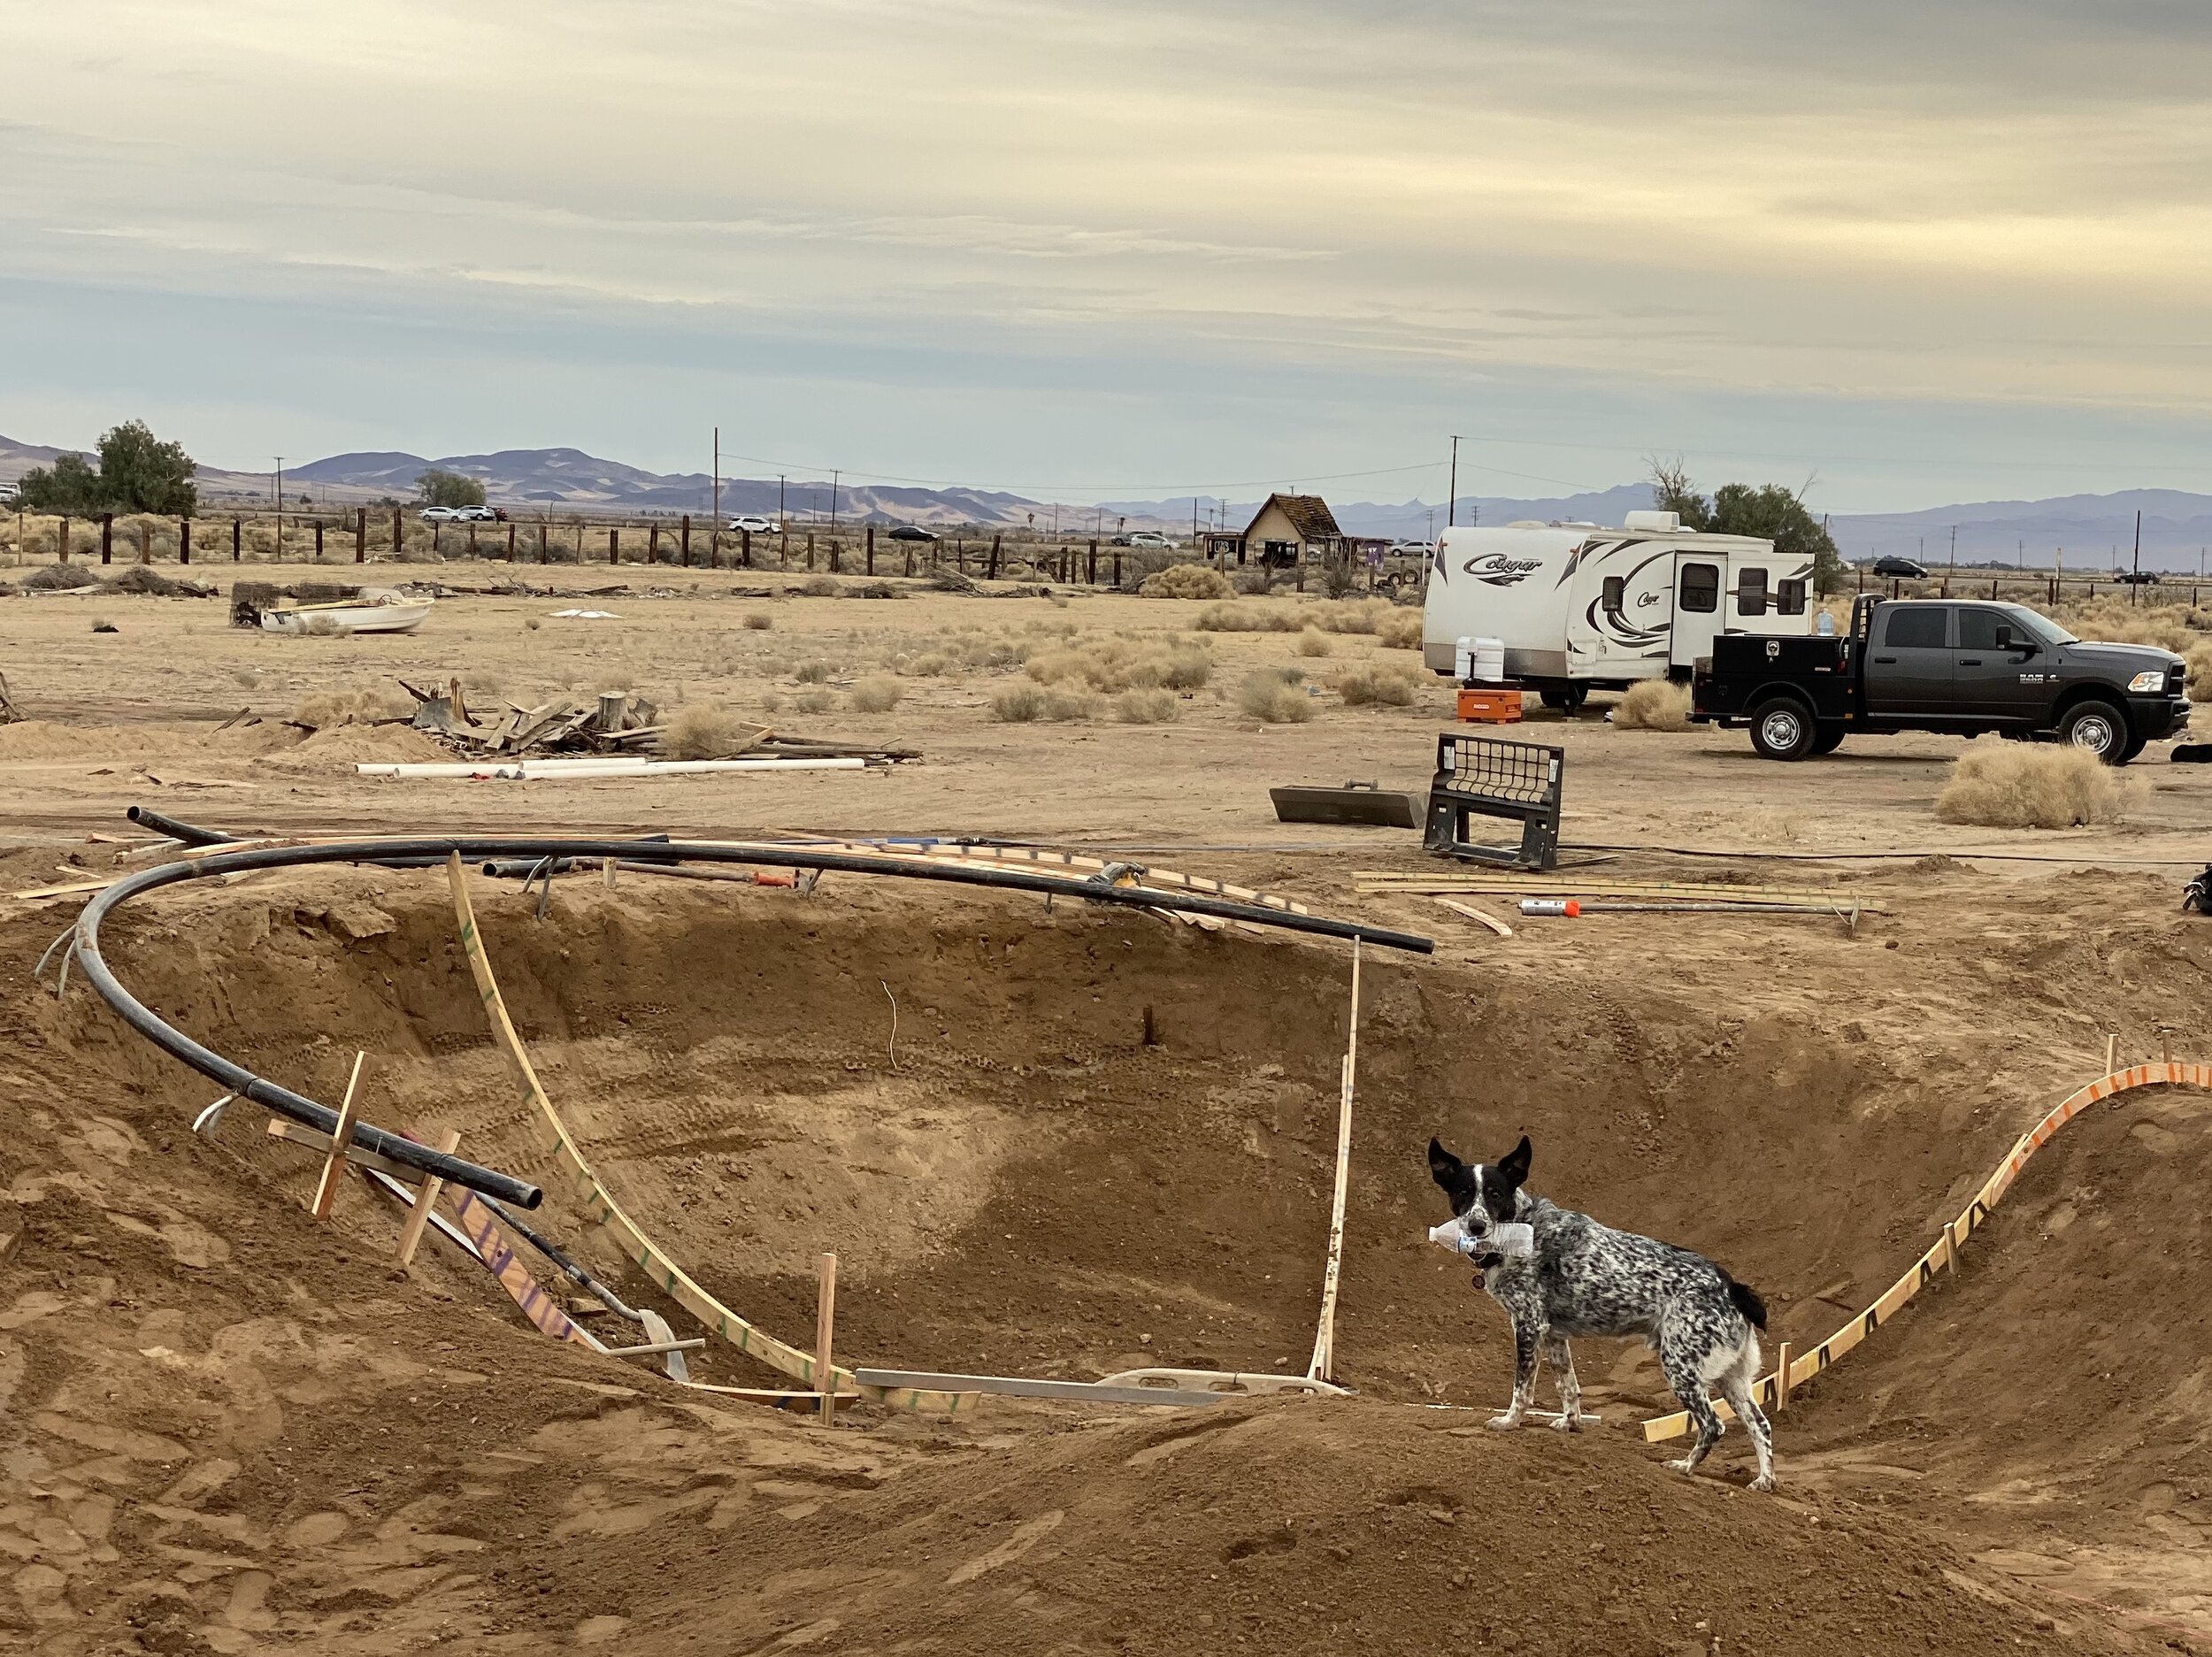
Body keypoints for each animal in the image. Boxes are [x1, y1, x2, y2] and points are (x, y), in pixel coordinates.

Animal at [1433, 1132, 1778, 1495]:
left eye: (1495, 1194)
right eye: (1463, 1192)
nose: (1476, 1225)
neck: (1523, 1228)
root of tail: (1730, 1285)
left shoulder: (1528, 1326)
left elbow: (1522, 1389)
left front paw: (1509, 1422)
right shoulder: (1553, 1335)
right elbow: (1568, 1387)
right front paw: (1570, 1423)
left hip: (1681, 1367)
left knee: (1713, 1425)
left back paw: (1685, 1466)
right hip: (1732, 1379)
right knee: (1761, 1425)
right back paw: (1764, 1480)